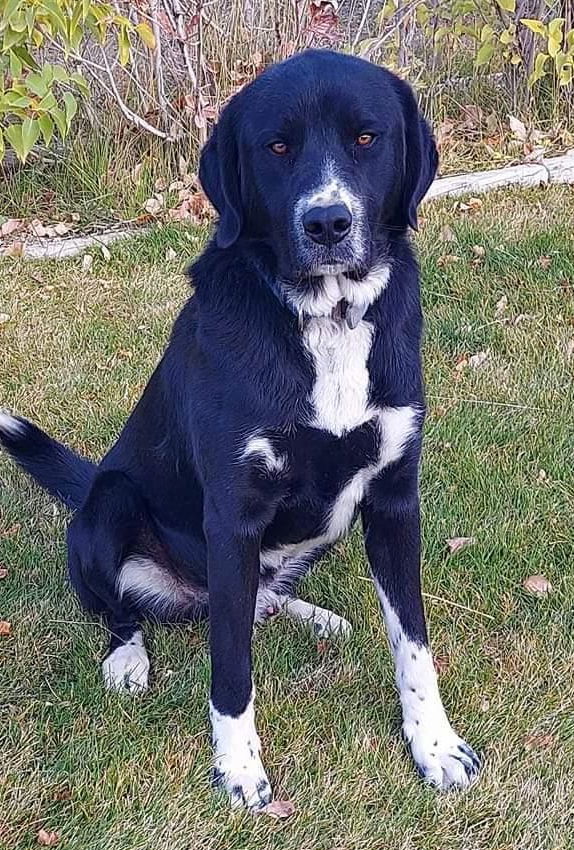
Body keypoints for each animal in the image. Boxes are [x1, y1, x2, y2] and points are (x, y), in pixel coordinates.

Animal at [0, 48, 482, 808]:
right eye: (277, 147)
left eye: (366, 138)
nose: (327, 223)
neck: (324, 320)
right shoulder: (233, 516)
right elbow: (230, 666)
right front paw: (239, 769)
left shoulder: (393, 501)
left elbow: (414, 644)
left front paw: (434, 747)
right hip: (108, 508)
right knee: (125, 611)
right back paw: (128, 659)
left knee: (262, 596)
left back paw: (312, 614)